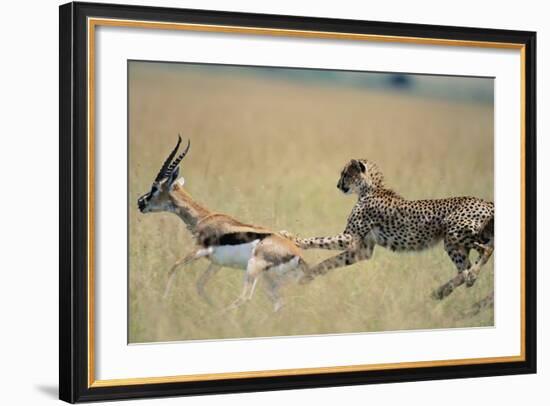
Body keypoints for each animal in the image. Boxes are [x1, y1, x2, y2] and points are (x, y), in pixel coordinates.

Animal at [284, 158, 496, 298]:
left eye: (345, 174)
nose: (338, 185)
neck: (370, 189)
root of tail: (487, 202)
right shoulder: (362, 250)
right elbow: (329, 262)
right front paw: (307, 276)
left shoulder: (351, 238)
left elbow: (319, 240)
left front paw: (293, 239)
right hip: (454, 244)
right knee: (464, 270)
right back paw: (442, 291)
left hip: (454, 233)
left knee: (486, 250)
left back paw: (469, 277)